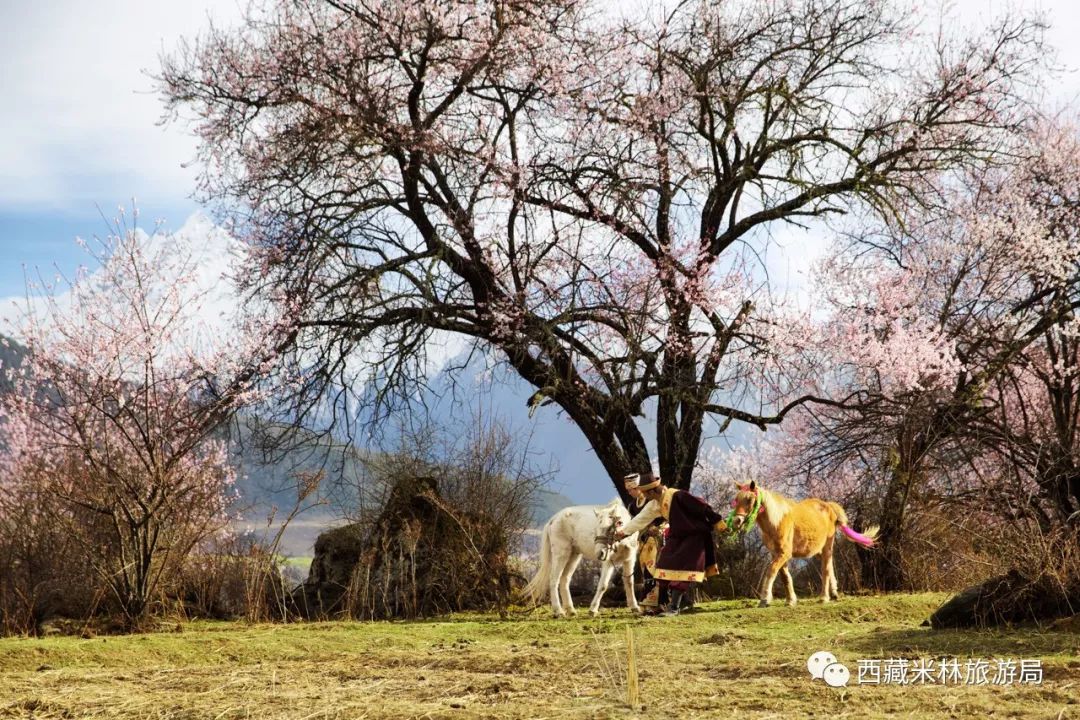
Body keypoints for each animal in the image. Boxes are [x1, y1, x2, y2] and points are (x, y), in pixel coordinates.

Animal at [734, 481, 876, 604]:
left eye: (749, 499)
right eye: (736, 500)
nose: (737, 521)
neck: (776, 521)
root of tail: (829, 506)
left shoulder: (784, 553)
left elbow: (771, 570)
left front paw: (765, 599)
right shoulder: (776, 553)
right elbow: (785, 576)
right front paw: (790, 600)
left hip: (827, 545)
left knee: (825, 569)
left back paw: (824, 597)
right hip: (818, 550)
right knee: (829, 564)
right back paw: (834, 593)